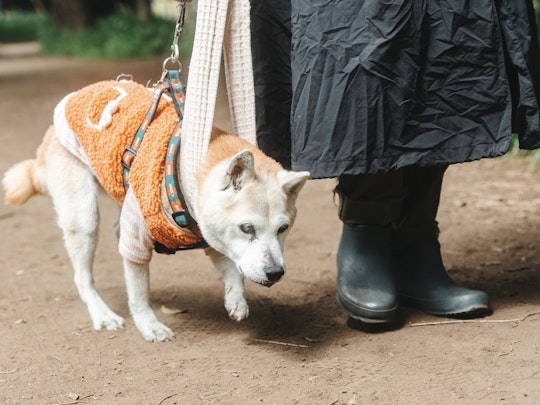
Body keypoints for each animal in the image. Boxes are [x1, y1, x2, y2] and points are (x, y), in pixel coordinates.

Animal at [2, 79, 310, 340]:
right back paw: (103, 314)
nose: (275, 273)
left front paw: (236, 299)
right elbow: (139, 293)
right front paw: (148, 325)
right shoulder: (137, 237)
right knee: (82, 277)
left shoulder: (208, 231)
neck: (186, 174)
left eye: (283, 229)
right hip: (84, 217)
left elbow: (229, 266)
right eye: (247, 228)